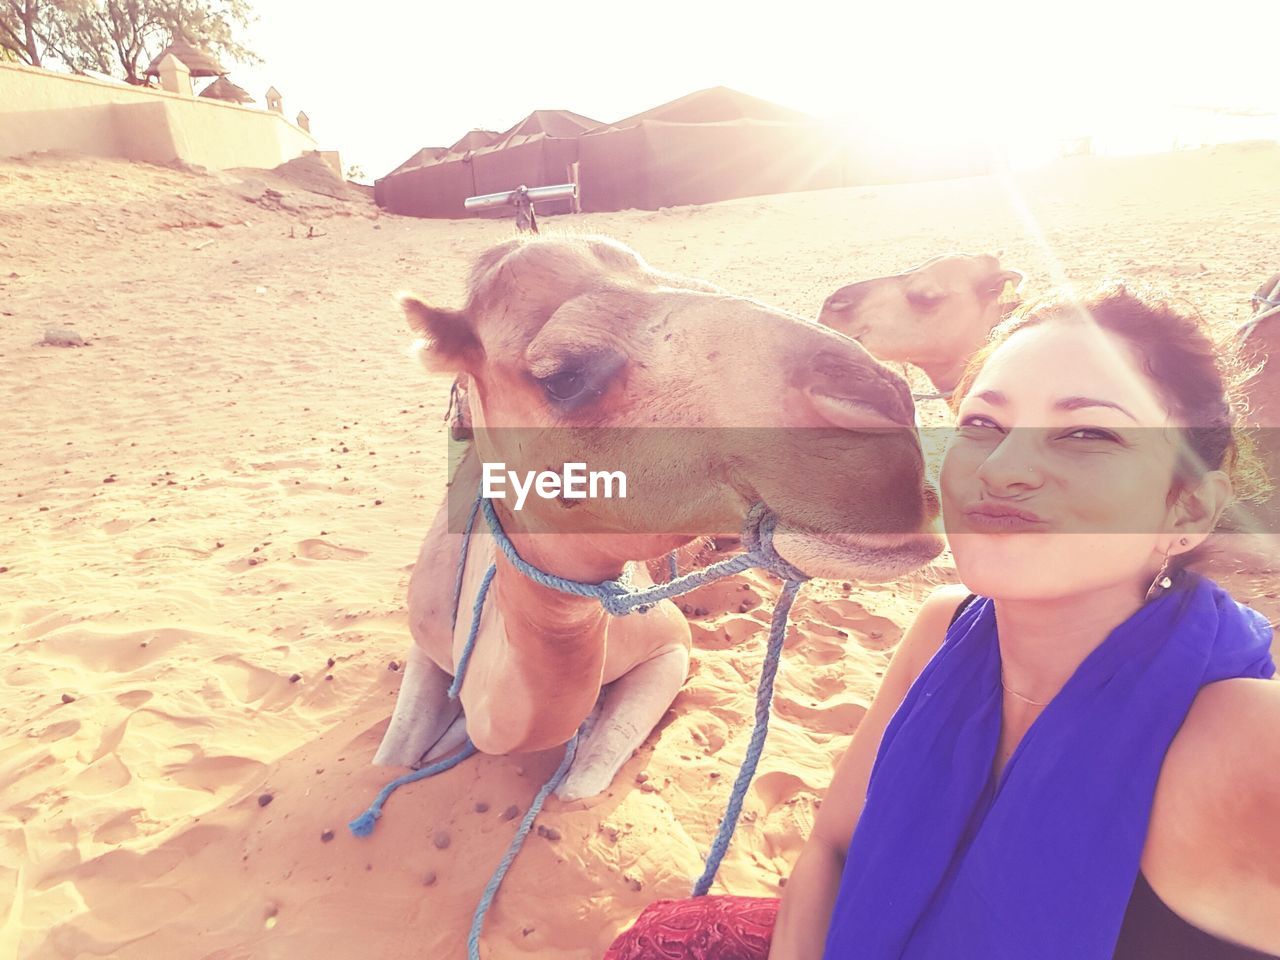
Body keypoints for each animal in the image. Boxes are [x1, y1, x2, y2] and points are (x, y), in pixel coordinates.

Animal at [373, 235, 947, 803]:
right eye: (565, 377)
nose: (885, 404)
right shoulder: (425, 639)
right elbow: (391, 757)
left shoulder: (669, 647)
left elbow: (578, 790)